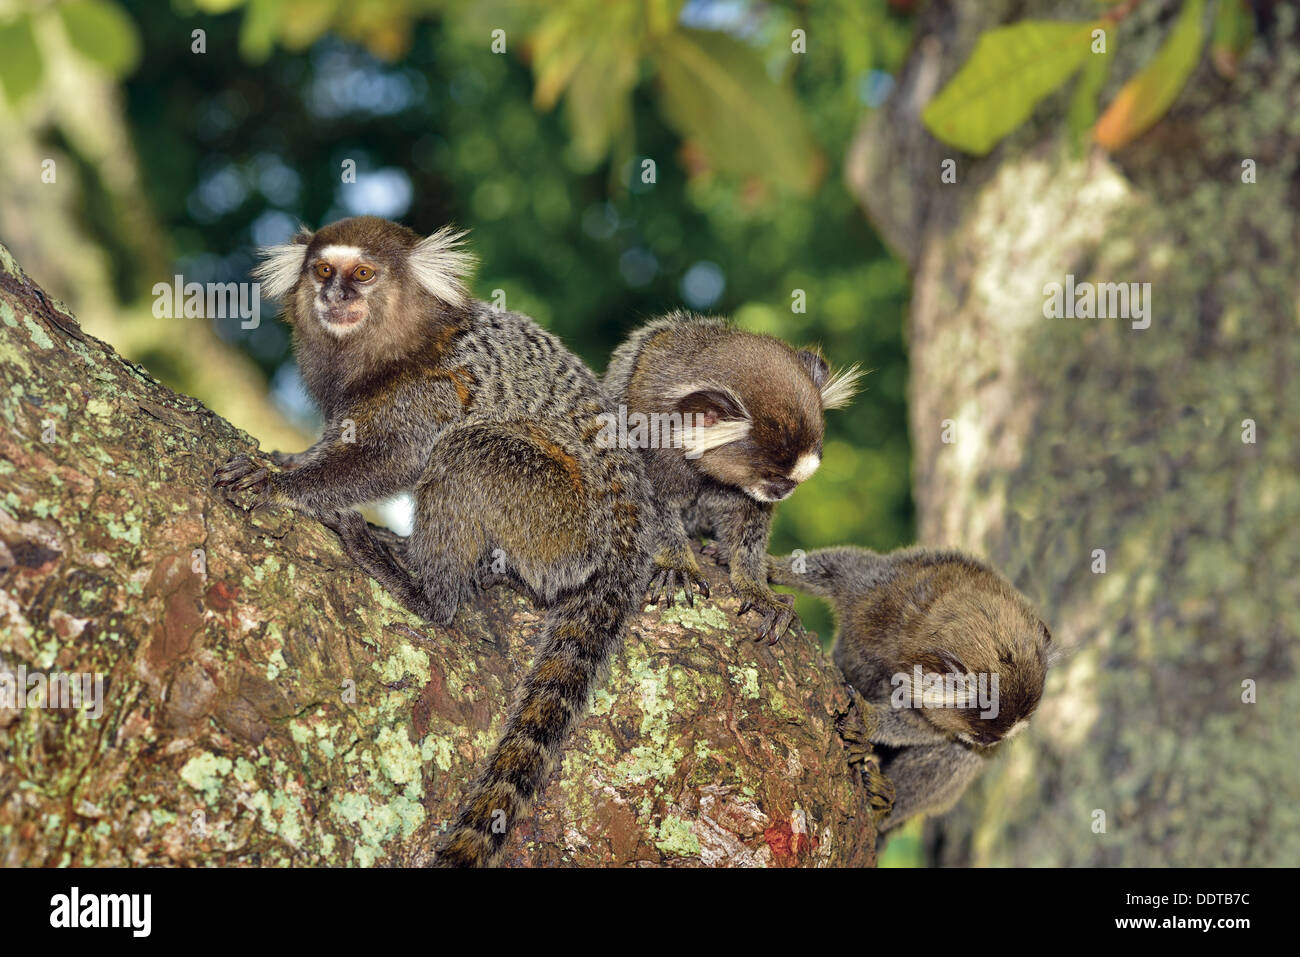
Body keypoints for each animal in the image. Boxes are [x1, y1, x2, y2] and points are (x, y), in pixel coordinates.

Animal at [212, 215, 653, 867]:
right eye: (324, 270)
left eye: (362, 273)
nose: (334, 295)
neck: (392, 350)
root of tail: (628, 546)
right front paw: (288, 460)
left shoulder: (430, 390)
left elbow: (393, 459)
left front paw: (278, 484)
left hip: (563, 521)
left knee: (468, 452)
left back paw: (424, 589)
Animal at [602, 312, 860, 642]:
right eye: (773, 475)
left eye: (793, 481)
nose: (783, 492)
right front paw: (675, 561)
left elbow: (749, 521)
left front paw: (755, 586)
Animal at [767, 546, 1053, 836]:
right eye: (980, 734)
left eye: (988, 737)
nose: (989, 743)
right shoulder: (879, 593)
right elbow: (837, 570)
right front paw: (771, 571)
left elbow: (926, 730)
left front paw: (870, 722)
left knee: (959, 756)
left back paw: (884, 803)